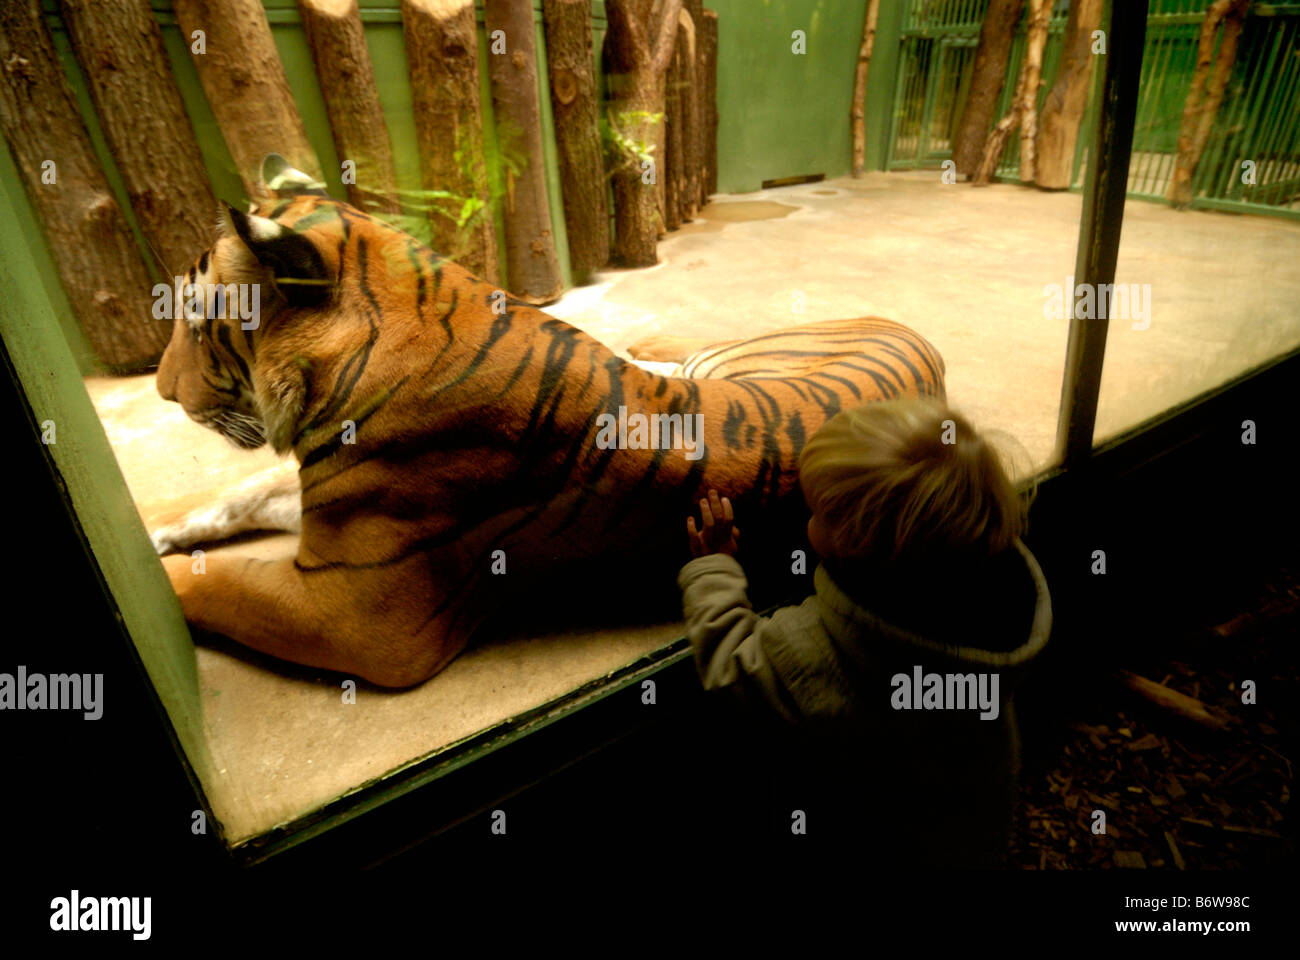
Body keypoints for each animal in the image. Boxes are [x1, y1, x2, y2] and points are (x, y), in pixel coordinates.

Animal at [154, 153, 946, 686]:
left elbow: (215, 584)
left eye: (193, 320)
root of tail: (909, 331)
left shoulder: (356, 613)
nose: (161, 392)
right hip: (719, 362)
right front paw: (157, 530)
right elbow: (231, 501)